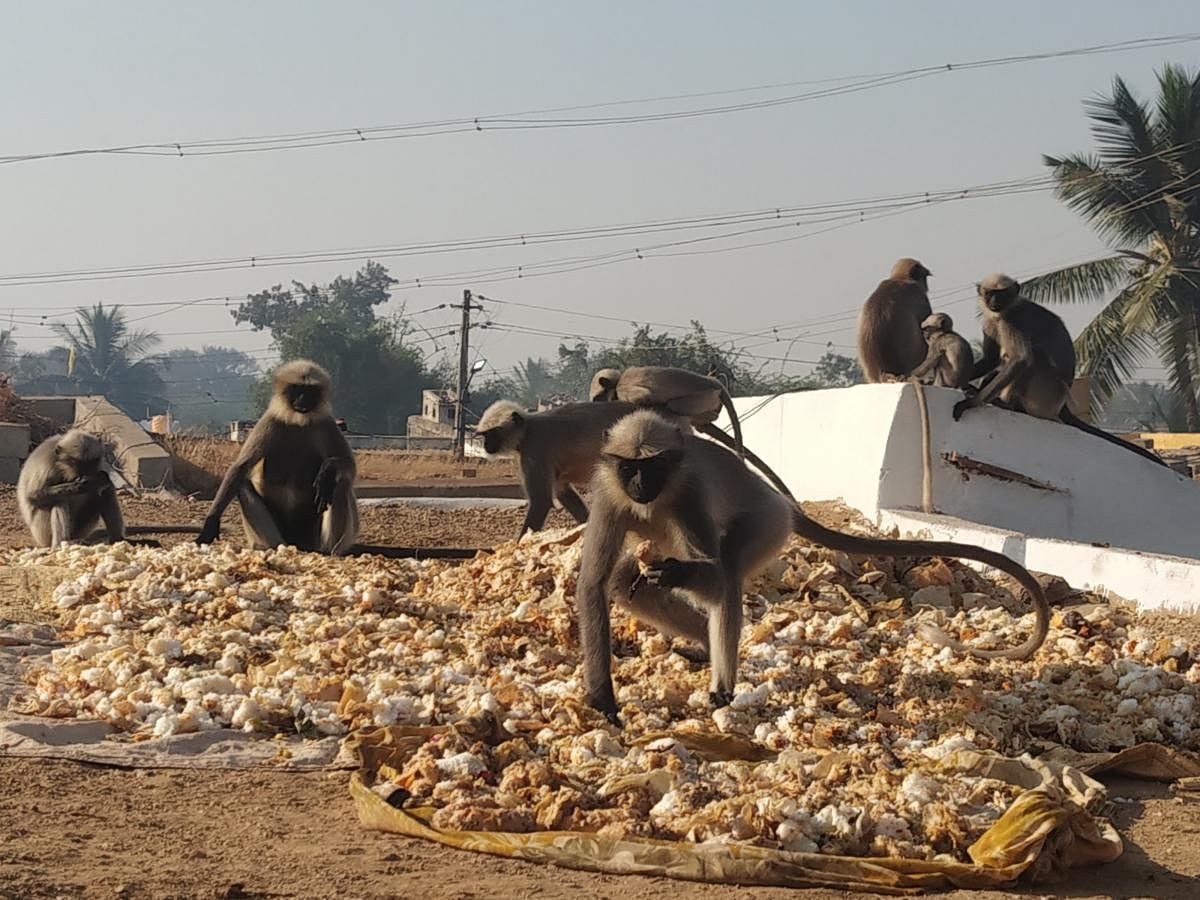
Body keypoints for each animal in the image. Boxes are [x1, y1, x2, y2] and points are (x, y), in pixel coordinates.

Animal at [193, 362, 355, 556]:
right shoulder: (269, 421)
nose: (303, 400)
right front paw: (210, 524)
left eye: (309, 391)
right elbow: (240, 467)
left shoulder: (326, 423)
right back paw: (276, 547)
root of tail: (297, 542)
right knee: (242, 483)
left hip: (311, 534)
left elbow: (350, 466)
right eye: (297, 389)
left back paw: (329, 550)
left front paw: (327, 469)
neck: (298, 421)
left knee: (341, 482)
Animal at [475, 400, 643, 540]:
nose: (485, 445)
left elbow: (541, 501)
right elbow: (563, 492)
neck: (527, 429)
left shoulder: (535, 449)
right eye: (484, 435)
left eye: (492, 433)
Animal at [573, 408, 1051, 724]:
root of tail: (780, 501)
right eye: (630, 467)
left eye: (652, 466)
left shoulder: (687, 492)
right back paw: (700, 644)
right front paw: (602, 696)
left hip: (767, 523)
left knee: (727, 573)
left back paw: (721, 686)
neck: (655, 494)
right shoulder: (607, 490)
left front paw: (678, 575)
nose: (639, 483)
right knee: (623, 580)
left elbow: (712, 580)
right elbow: (594, 584)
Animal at [955, 273, 1161, 468]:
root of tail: (1062, 405)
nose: (994, 302)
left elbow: (1021, 359)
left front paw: (972, 402)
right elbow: (990, 360)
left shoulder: (1011, 320)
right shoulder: (991, 321)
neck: (1005, 310)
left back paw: (1006, 404)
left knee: (1035, 356)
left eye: (1002, 294)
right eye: (989, 294)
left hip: (1047, 392)